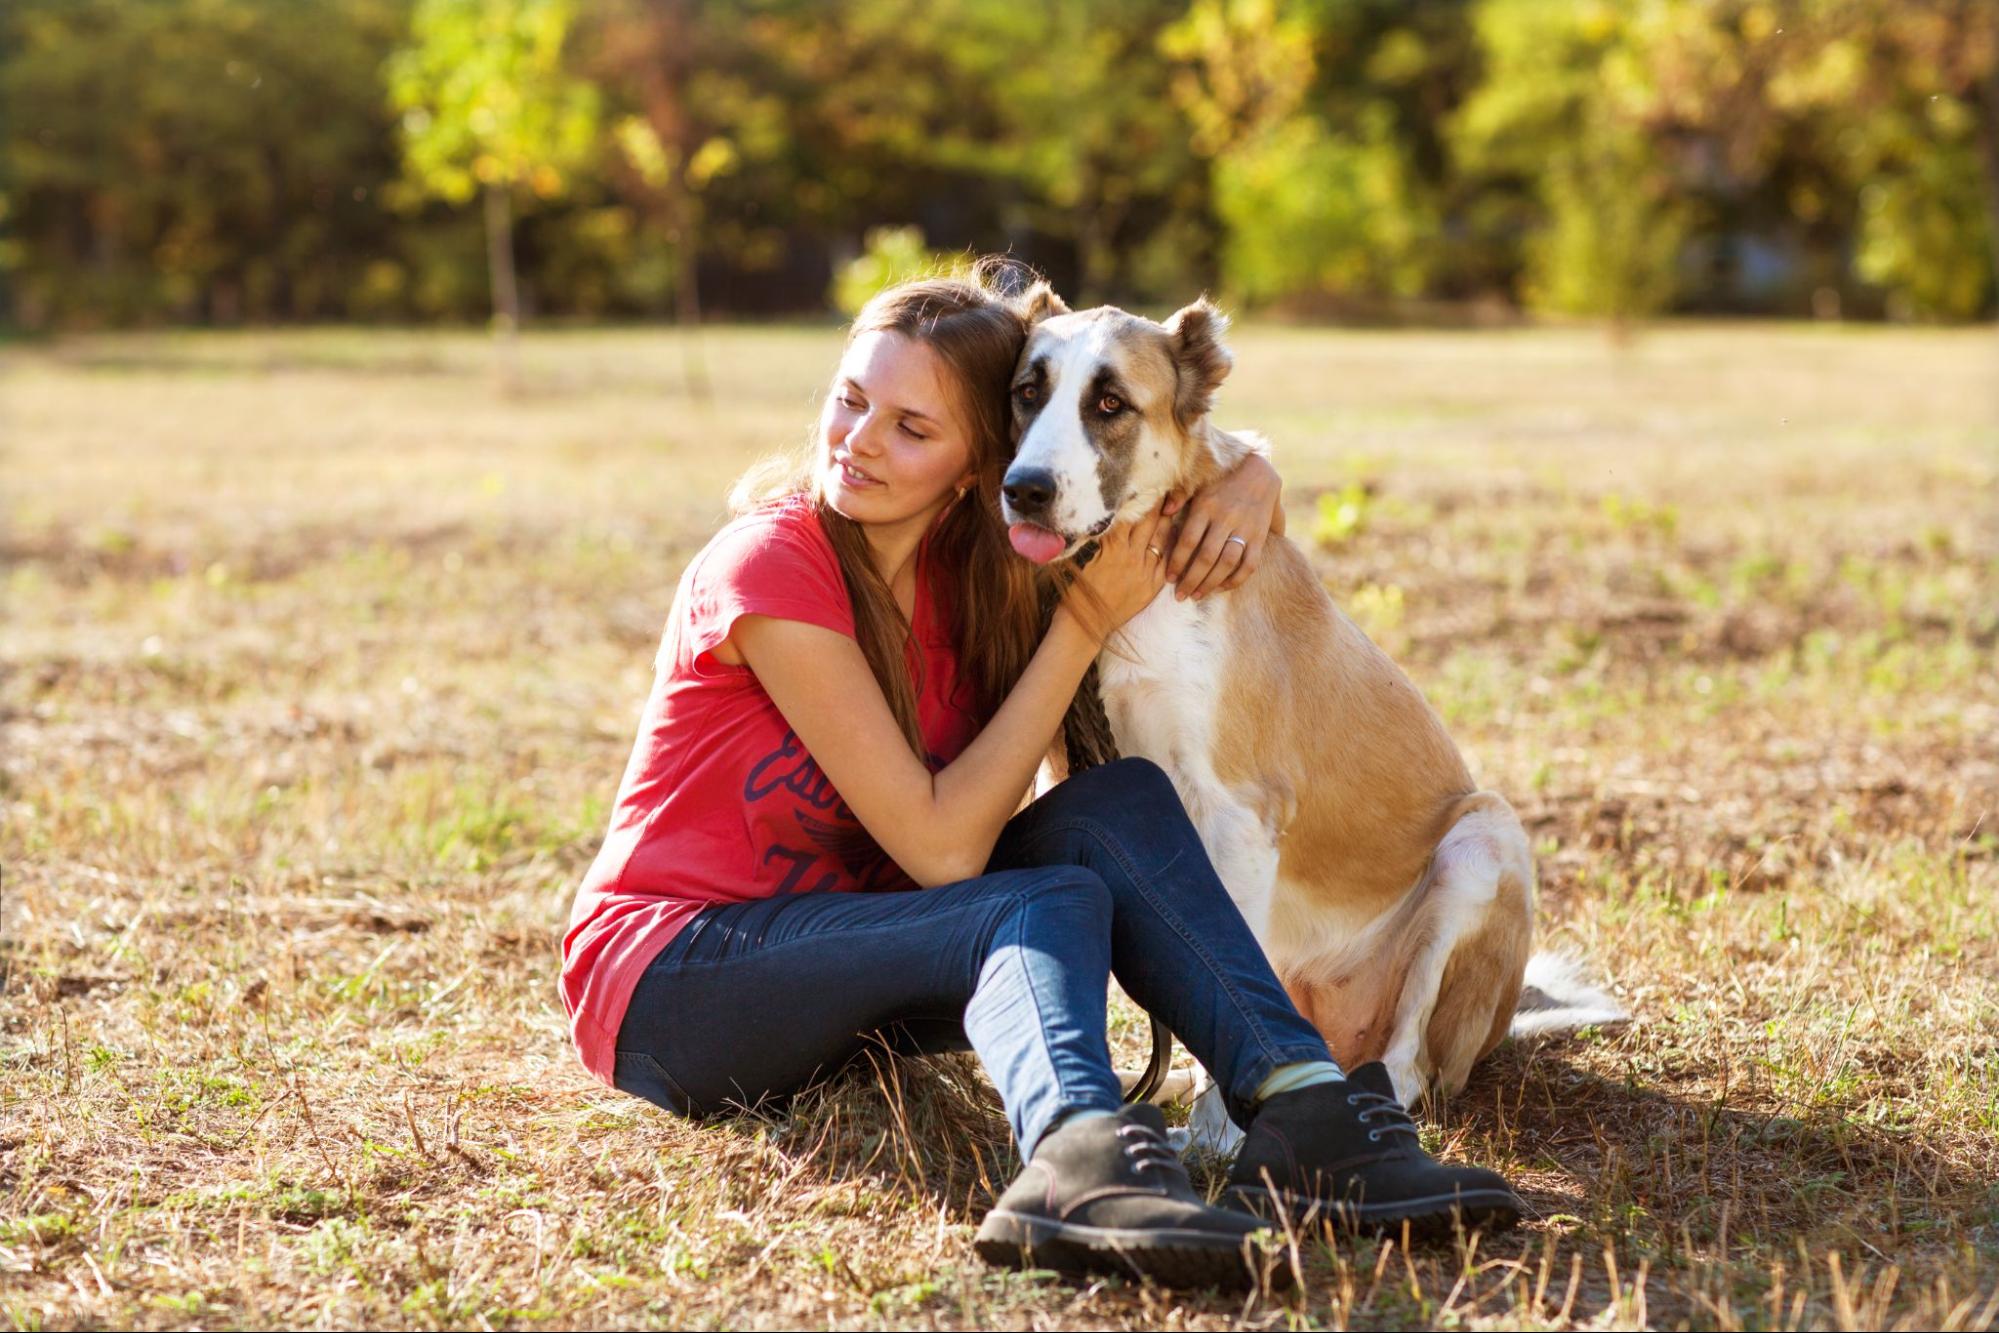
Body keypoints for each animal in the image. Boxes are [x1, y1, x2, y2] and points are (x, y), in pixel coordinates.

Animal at [999, 283, 1623, 1159]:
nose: (1022, 488)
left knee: (1410, 1061)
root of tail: (1498, 1026)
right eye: (1028, 391)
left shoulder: (1239, 817)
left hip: (1483, 840)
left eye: (1110, 403)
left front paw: (1220, 1133)